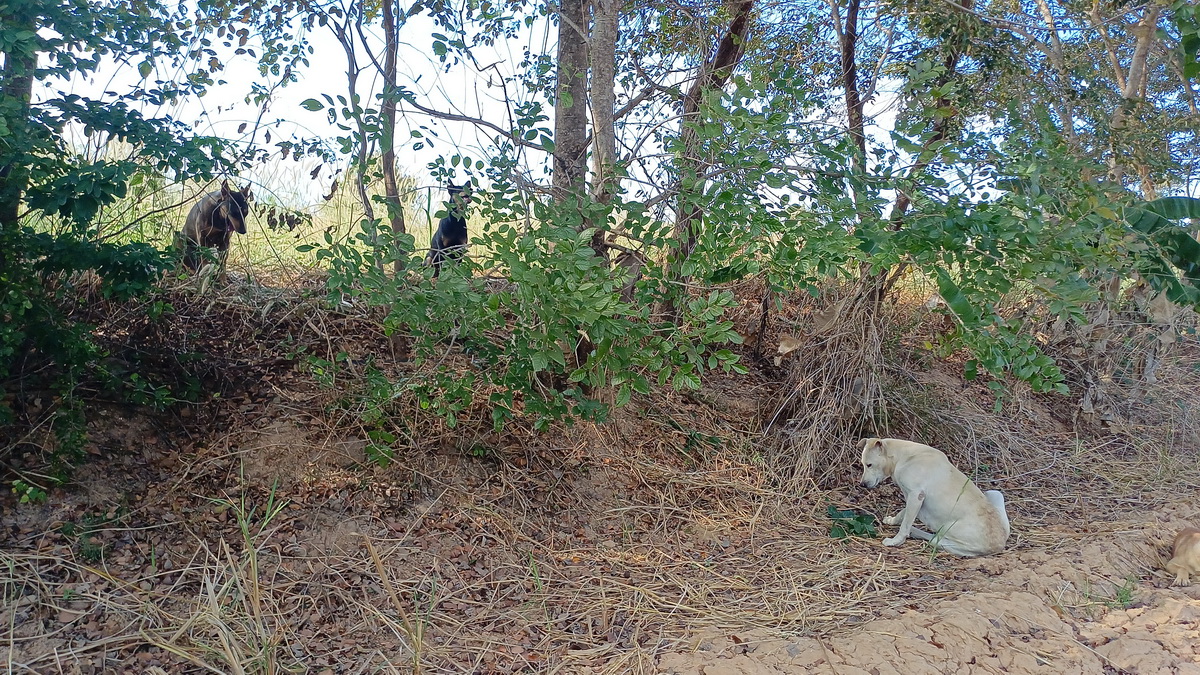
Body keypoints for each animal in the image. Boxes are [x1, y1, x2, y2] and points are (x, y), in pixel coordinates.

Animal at [858, 437, 1011, 557]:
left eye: (869, 465)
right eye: (862, 464)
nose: (862, 485)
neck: (903, 457)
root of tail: (999, 545)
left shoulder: (916, 496)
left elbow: (905, 525)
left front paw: (895, 541)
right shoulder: (912, 498)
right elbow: (902, 514)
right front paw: (892, 521)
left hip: (947, 533)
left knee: (933, 538)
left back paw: (914, 532)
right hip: (994, 493)